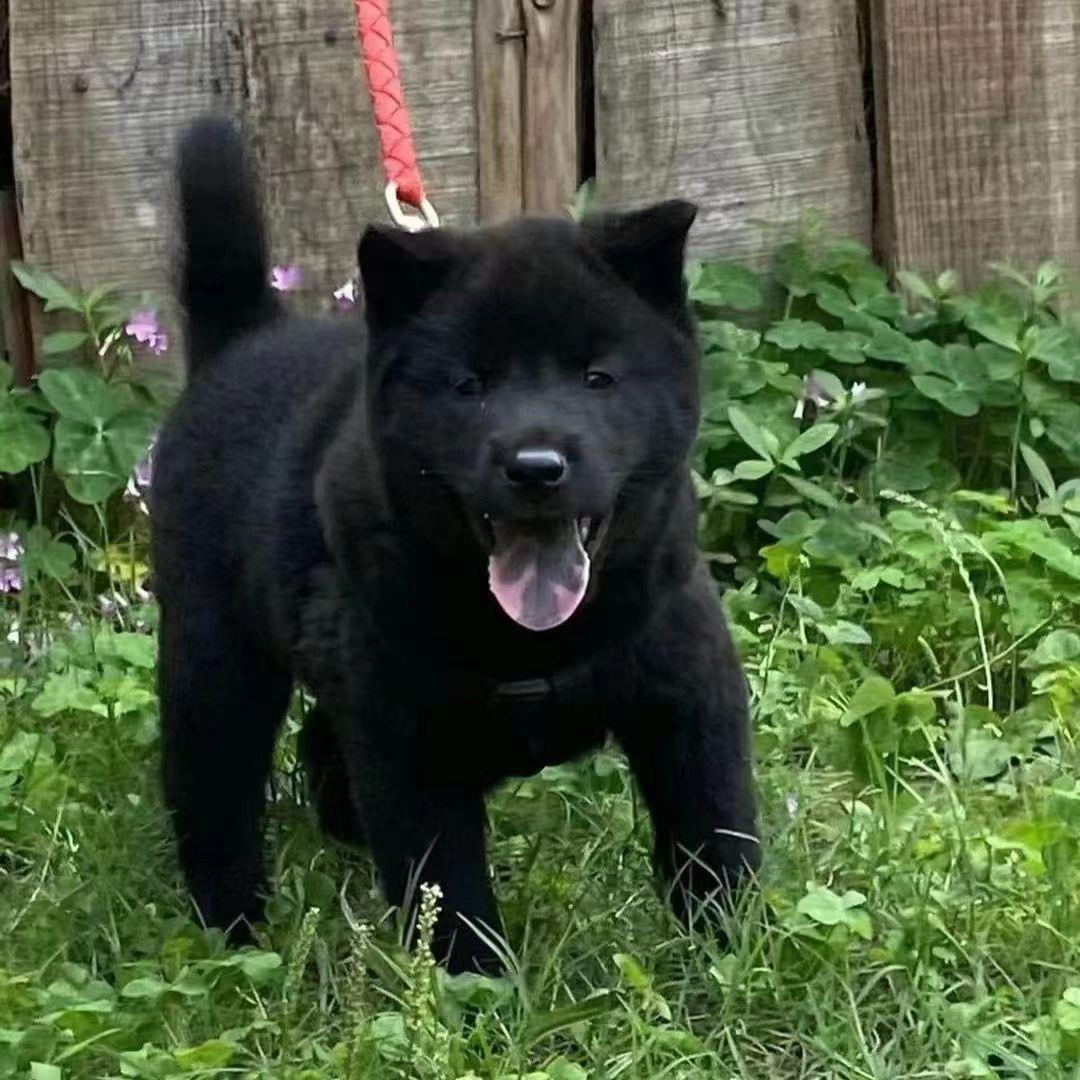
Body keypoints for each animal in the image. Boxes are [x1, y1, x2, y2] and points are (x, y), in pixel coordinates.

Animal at [154, 116, 760, 972]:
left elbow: (715, 838)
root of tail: (240, 341)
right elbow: (449, 890)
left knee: (320, 740)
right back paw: (234, 930)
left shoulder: (689, 698)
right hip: (214, 658)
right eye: (470, 385)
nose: (536, 466)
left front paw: (731, 955)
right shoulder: (413, 748)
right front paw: (479, 989)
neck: (533, 639)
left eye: (597, 378)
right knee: (214, 794)